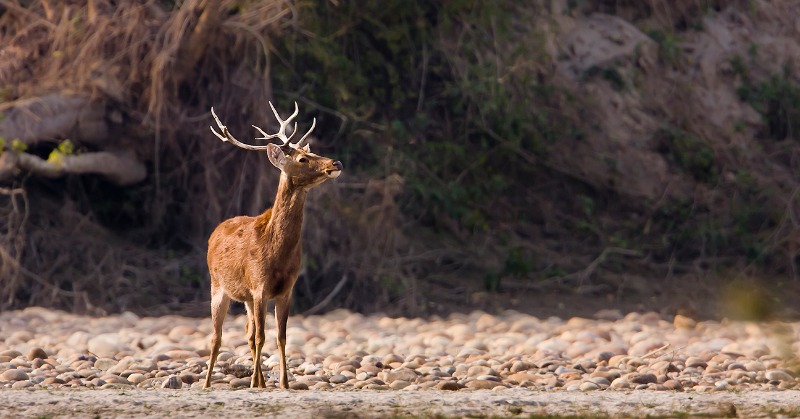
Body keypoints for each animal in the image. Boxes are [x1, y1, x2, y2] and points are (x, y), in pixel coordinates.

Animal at [203, 102, 340, 390]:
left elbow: (280, 336)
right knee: (217, 337)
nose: (336, 162)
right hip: (217, 286)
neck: (276, 254)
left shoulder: (286, 289)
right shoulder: (259, 286)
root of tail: (216, 230)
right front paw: (256, 383)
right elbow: (262, 337)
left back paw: (261, 382)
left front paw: (283, 384)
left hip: (243, 297)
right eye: (302, 159)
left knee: (247, 332)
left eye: (314, 152)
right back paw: (208, 383)